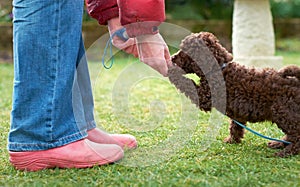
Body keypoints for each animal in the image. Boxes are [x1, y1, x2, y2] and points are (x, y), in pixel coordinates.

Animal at [169, 31, 300, 156]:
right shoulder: (238, 113)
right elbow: (235, 126)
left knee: (296, 134)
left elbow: (186, 82)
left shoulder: (205, 97)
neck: (218, 68)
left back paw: (287, 151)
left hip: (283, 112)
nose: (172, 58)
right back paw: (279, 144)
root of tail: (296, 82)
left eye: (185, 51)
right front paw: (232, 140)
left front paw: (171, 70)